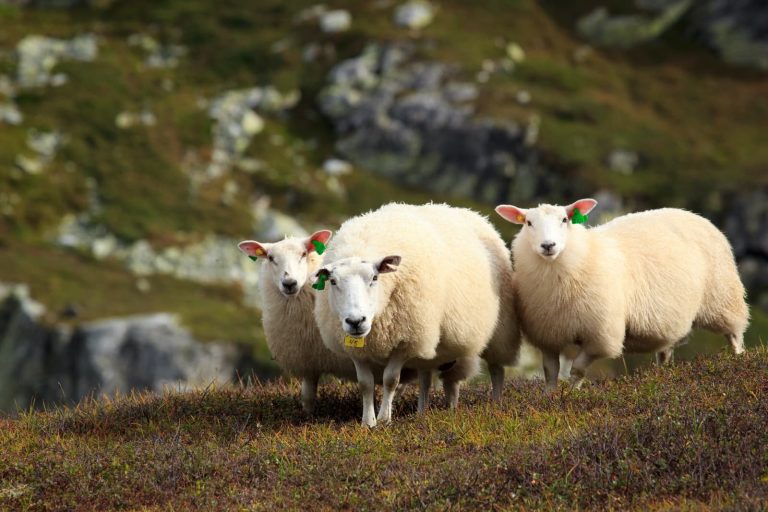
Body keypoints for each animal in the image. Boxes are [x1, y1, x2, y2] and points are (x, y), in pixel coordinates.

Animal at [238, 230, 358, 413]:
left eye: (303, 254)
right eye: (271, 258)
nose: (289, 283)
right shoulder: (307, 358)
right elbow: (307, 396)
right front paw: (308, 416)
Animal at [313, 203, 518, 427]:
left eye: (374, 278)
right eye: (333, 281)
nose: (356, 321)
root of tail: (471, 213)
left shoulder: (406, 340)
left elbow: (390, 380)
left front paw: (384, 420)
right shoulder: (355, 349)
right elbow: (365, 383)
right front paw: (368, 422)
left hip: (500, 330)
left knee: (495, 369)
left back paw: (494, 405)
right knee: (430, 378)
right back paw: (427, 413)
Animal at [495, 199, 750, 391]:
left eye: (565, 220)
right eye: (529, 222)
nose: (548, 245)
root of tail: (693, 214)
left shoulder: (601, 336)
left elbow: (577, 369)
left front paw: (571, 395)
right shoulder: (548, 334)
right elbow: (550, 372)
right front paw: (549, 397)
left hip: (723, 297)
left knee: (735, 333)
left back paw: (739, 361)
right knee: (665, 352)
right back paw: (663, 376)